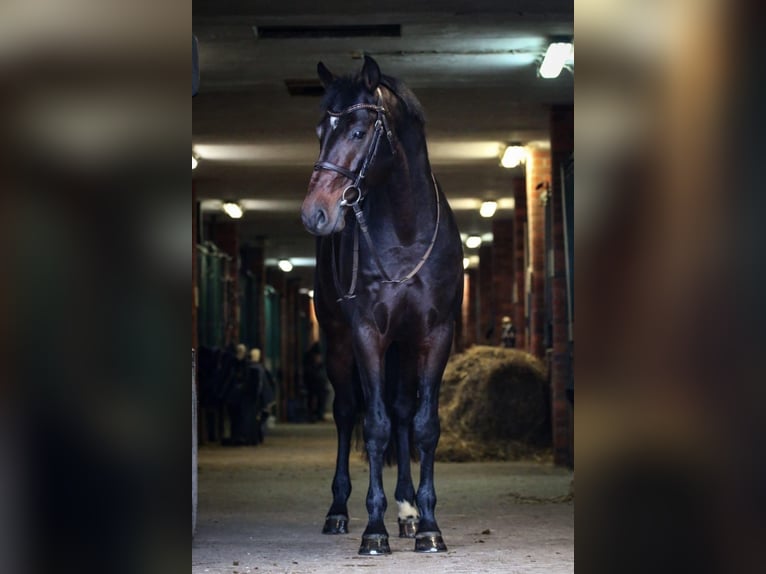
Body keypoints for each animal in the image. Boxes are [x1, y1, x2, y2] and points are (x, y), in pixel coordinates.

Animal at [300, 55, 464, 555]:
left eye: (357, 131)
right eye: (320, 130)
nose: (314, 213)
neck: (406, 235)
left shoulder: (434, 335)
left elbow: (423, 425)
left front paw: (428, 526)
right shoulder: (367, 335)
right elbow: (373, 426)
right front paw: (374, 530)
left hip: (405, 347)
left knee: (403, 413)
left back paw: (408, 513)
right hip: (338, 345)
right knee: (347, 412)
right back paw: (338, 512)